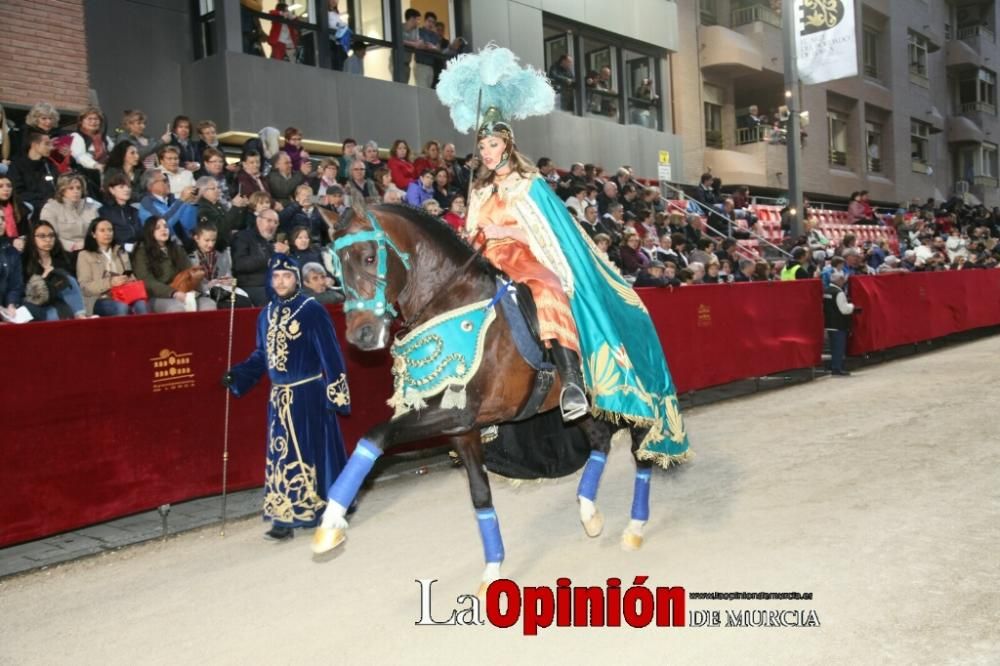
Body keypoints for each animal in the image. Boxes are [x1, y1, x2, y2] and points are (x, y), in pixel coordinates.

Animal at [312, 200, 656, 588]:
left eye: (370, 257)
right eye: (336, 265)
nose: (362, 335)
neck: (453, 302)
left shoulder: (459, 412)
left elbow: (377, 434)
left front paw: (330, 524)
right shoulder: (462, 428)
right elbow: (480, 495)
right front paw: (492, 570)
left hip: (634, 397)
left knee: (641, 448)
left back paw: (634, 527)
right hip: (578, 409)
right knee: (599, 439)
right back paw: (589, 513)